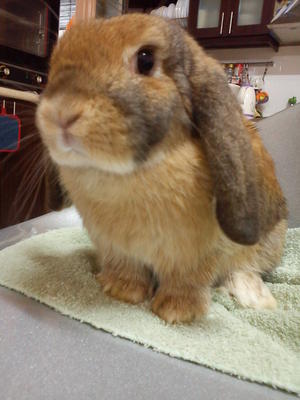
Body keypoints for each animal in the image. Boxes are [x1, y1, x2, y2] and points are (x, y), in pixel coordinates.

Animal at [36, 14, 288, 324]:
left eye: (145, 60)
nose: (61, 113)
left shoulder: (199, 254)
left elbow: (186, 280)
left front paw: (176, 311)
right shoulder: (114, 246)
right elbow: (128, 269)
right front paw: (121, 291)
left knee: (246, 268)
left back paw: (255, 297)